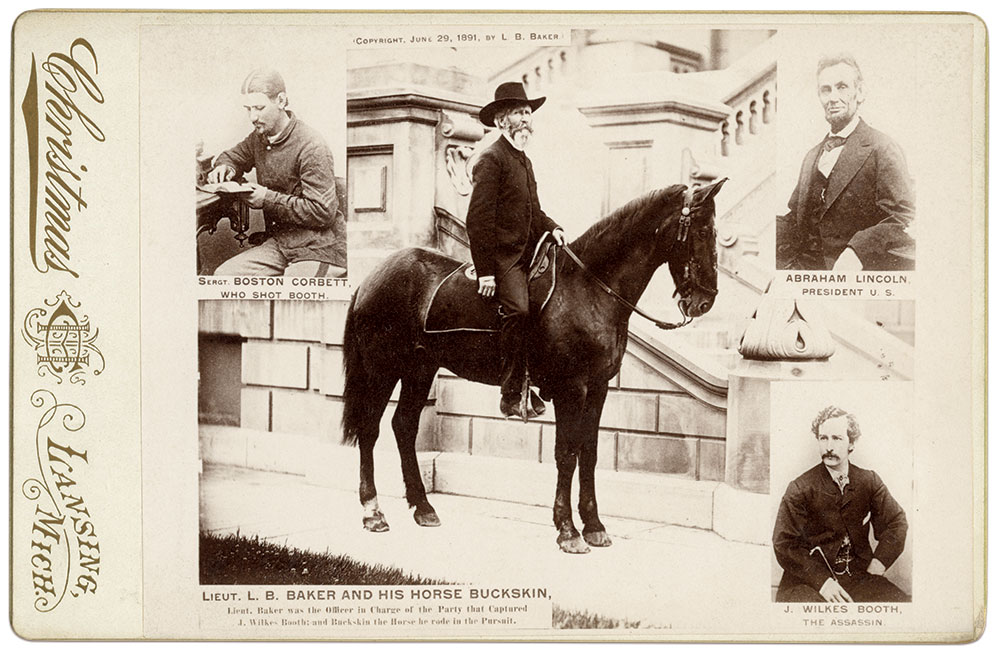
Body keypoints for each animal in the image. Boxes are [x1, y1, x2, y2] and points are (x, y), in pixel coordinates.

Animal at [344, 178, 728, 552]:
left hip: (419, 370)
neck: (589, 288)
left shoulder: (598, 388)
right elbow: (567, 454)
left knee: (404, 427)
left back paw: (423, 506)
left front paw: (594, 525)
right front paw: (568, 530)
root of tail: (370, 277)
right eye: (703, 231)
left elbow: (589, 453)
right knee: (370, 430)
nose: (705, 301)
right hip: (382, 369)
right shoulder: (572, 389)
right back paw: (373, 511)